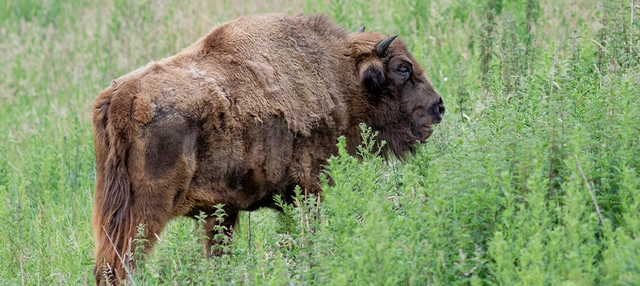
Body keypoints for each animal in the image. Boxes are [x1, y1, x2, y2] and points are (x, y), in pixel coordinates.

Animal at [91, 13, 444, 286]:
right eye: (403, 68)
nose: (438, 107)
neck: (339, 77)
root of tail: (120, 99)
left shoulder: (223, 210)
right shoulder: (312, 185)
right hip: (144, 213)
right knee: (122, 266)